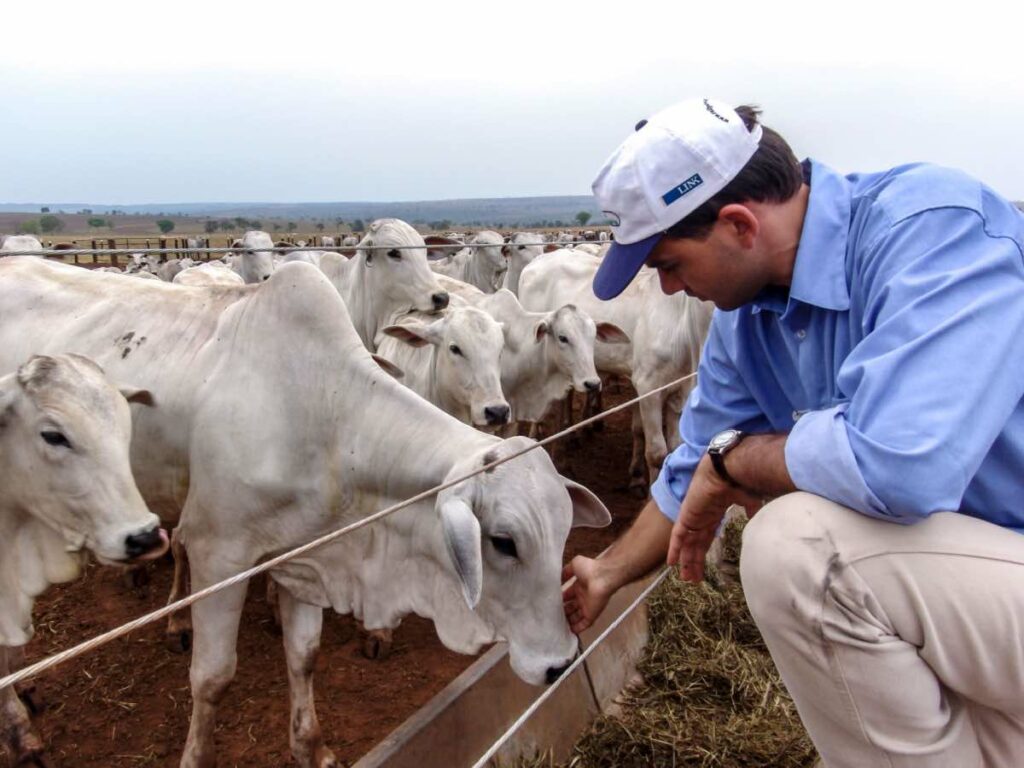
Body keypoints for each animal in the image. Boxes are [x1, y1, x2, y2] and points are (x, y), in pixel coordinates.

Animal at [520, 250, 712, 493]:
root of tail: (540, 258)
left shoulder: (679, 390)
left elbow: (671, 447)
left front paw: (638, 476)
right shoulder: (648, 387)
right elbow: (657, 453)